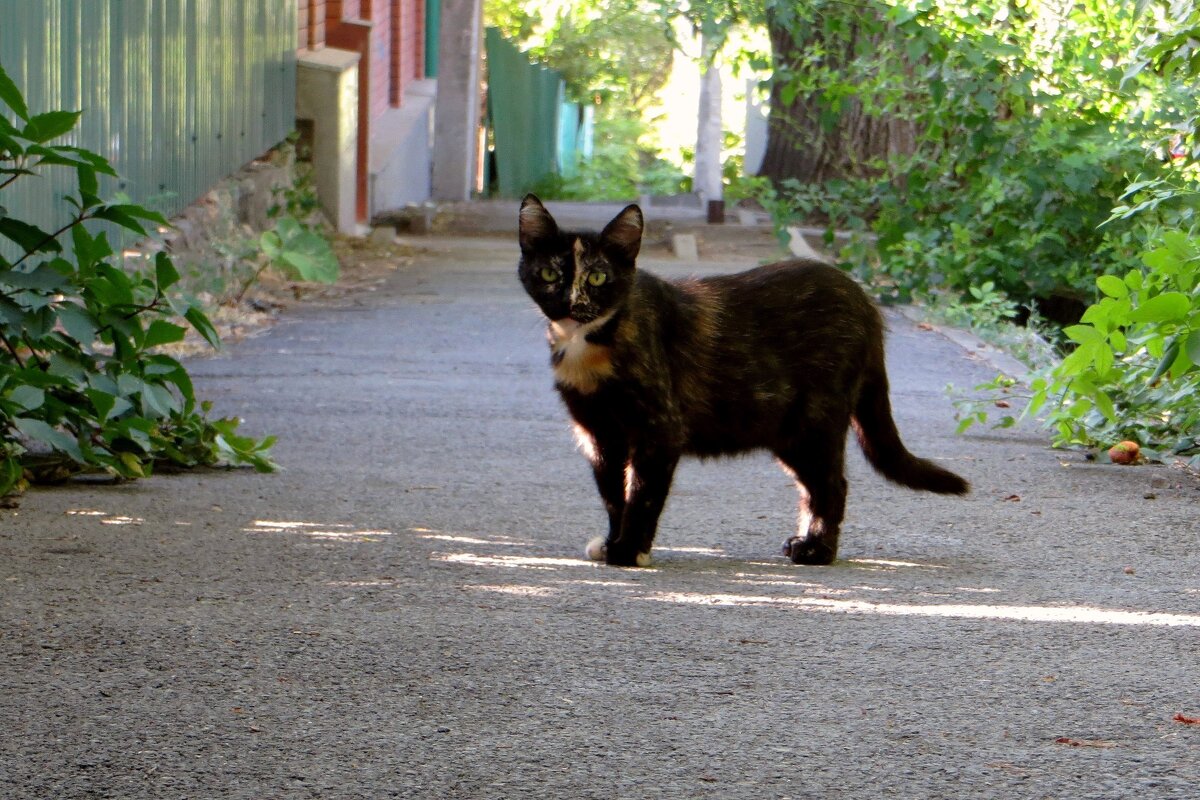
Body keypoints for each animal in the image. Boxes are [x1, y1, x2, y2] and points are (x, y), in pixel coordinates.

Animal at [516, 196, 964, 566]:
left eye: (597, 278)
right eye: (549, 273)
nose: (573, 304)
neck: (589, 342)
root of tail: (865, 302)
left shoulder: (659, 430)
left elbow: (640, 495)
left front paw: (629, 551)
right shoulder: (599, 433)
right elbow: (612, 493)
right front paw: (613, 542)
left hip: (814, 424)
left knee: (832, 485)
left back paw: (817, 551)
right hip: (788, 433)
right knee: (815, 488)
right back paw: (805, 542)